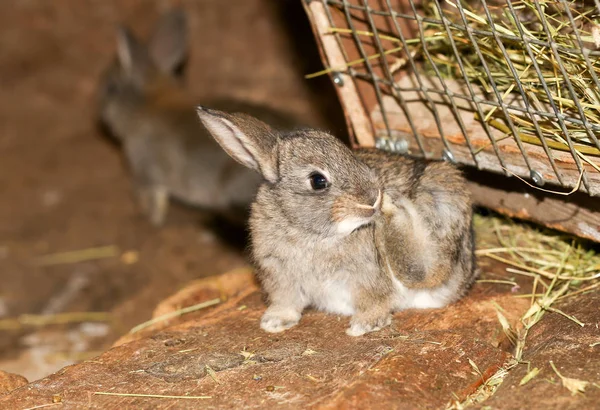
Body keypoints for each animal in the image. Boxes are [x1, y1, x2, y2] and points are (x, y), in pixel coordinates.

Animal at [98, 8, 296, 226]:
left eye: (111, 89)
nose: (100, 115)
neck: (147, 106)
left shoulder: (148, 173)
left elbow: (155, 201)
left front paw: (150, 220)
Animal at [197, 108, 478, 336]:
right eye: (317, 180)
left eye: (351, 156)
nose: (373, 197)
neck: (311, 233)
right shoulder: (279, 276)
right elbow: (286, 302)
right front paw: (274, 323)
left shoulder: (367, 276)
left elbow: (375, 300)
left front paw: (364, 325)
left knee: (425, 269)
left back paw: (395, 204)